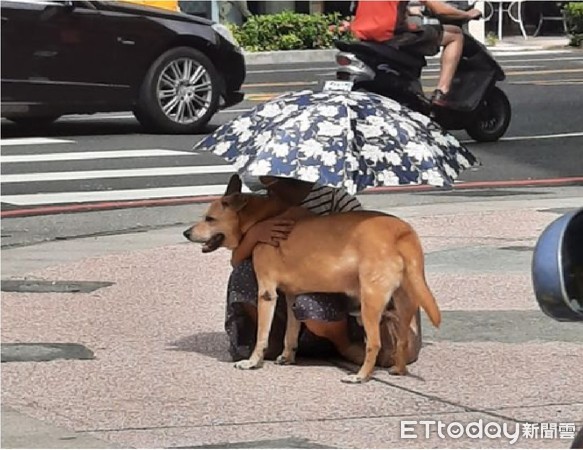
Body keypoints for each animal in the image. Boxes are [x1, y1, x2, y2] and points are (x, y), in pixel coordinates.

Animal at [185, 176, 440, 384]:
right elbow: (291, 331)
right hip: (403, 302)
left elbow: (261, 335)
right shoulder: (291, 295)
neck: (265, 219)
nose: (186, 233)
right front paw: (287, 356)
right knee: (402, 339)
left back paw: (361, 375)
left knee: (374, 343)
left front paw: (253, 361)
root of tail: (403, 232)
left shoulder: (267, 292)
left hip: (370, 300)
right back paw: (399, 369)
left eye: (210, 218)